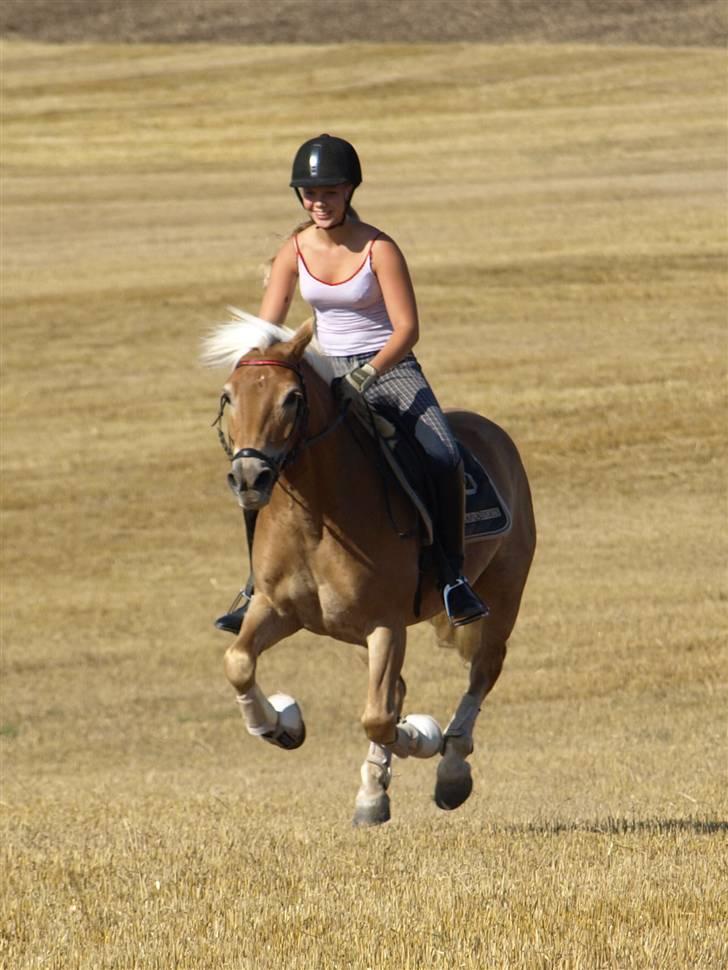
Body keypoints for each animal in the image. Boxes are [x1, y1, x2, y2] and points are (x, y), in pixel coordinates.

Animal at [202, 310, 536, 824]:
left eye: (291, 398)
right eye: (228, 396)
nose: (249, 477)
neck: (316, 519)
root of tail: (493, 432)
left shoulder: (385, 623)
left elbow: (378, 717)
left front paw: (423, 739)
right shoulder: (278, 609)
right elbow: (238, 662)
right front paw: (282, 725)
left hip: (502, 594)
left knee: (483, 671)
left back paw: (451, 770)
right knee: (396, 687)